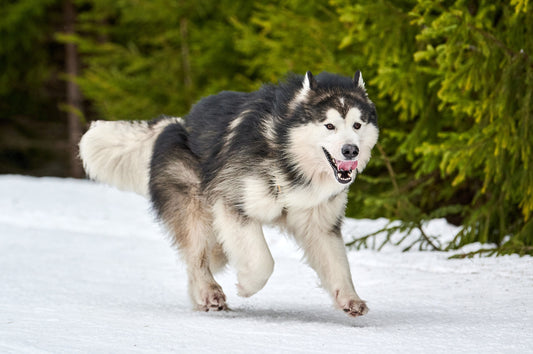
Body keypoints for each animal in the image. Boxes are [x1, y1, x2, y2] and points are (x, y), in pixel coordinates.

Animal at [80, 70, 378, 316]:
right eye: (329, 125)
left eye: (357, 125)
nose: (351, 150)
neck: (284, 152)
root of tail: (176, 122)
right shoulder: (233, 203)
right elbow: (263, 262)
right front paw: (247, 286)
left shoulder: (320, 222)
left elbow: (338, 265)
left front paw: (349, 298)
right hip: (195, 205)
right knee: (197, 256)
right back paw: (208, 292)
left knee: (206, 255)